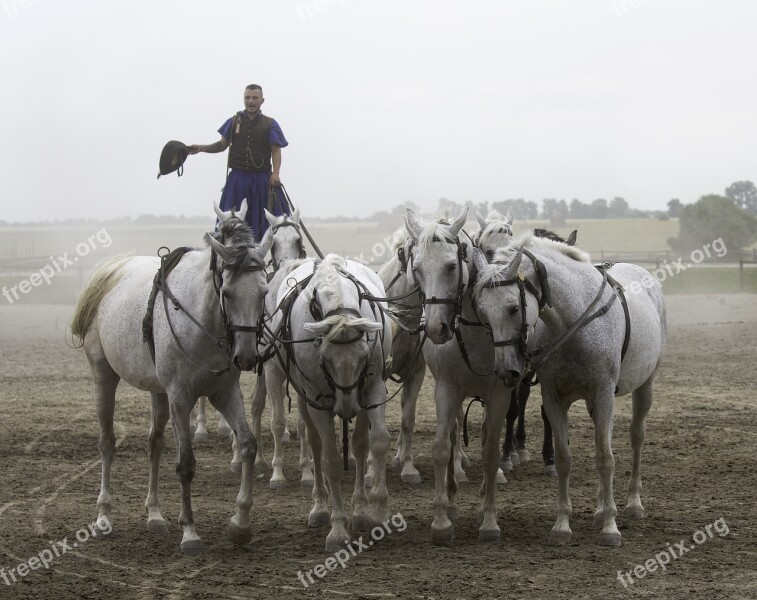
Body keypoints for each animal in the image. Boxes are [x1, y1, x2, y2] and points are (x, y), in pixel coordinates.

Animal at [69, 202, 274, 552]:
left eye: (264, 292)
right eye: (227, 292)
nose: (246, 356)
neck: (202, 317)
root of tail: (111, 270)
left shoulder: (224, 392)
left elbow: (247, 444)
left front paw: (240, 522)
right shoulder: (180, 396)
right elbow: (186, 463)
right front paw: (190, 531)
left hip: (158, 390)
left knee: (155, 443)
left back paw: (154, 515)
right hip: (104, 376)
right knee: (107, 443)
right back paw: (104, 515)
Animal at [268, 255, 396, 552]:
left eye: (363, 356)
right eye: (324, 357)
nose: (347, 405)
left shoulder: (372, 389)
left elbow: (377, 442)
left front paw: (376, 512)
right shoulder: (317, 398)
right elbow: (331, 461)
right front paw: (338, 530)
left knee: (359, 445)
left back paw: (359, 511)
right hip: (306, 398)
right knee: (315, 445)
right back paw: (320, 508)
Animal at [402, 209, 508, 548]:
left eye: (451, 266)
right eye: (417, 269)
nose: (437, 329)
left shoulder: (499, 395)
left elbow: (490, 452)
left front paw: (489, 521)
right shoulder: (446, 391)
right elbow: (441, 448)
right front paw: (441, 518)